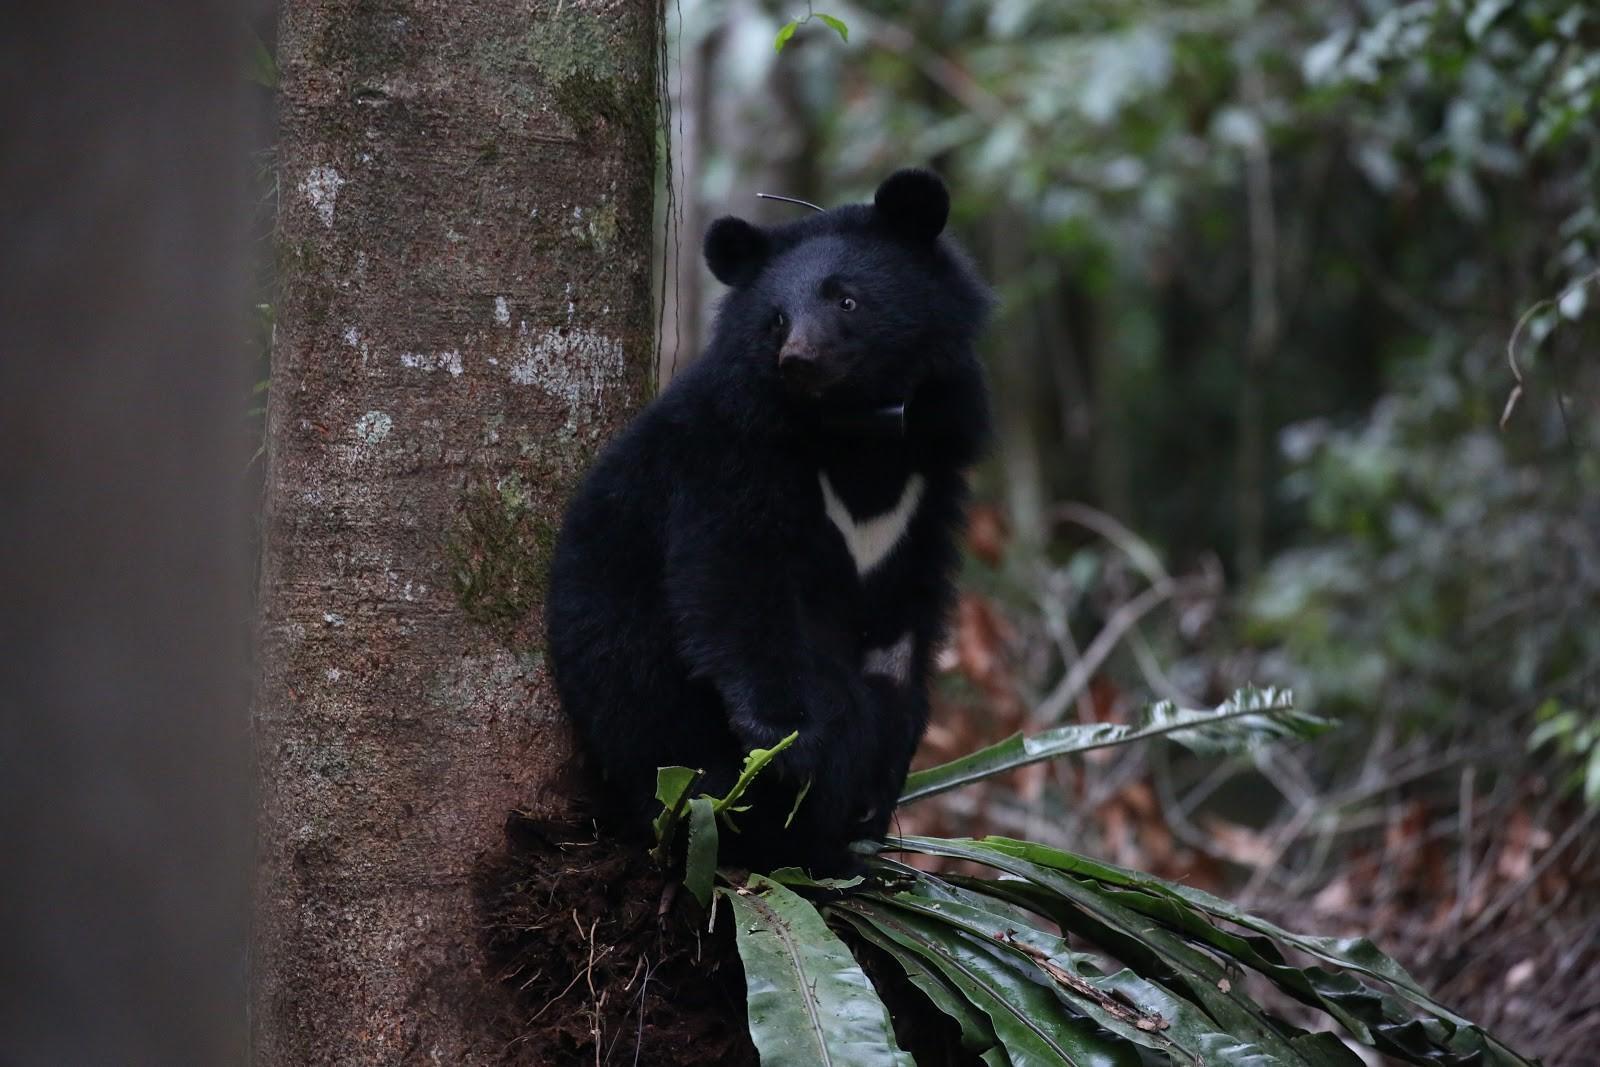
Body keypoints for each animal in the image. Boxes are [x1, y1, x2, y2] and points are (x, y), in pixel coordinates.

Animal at [546, 168, 991, 875]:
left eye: (846, 300)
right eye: (776, 318)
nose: (797, 359)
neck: (856, 434)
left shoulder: (929, 486)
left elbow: (900, 633)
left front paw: (885, 772)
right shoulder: (731, 456)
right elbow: (736, 586)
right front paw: (791, 747)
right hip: (666, 734)